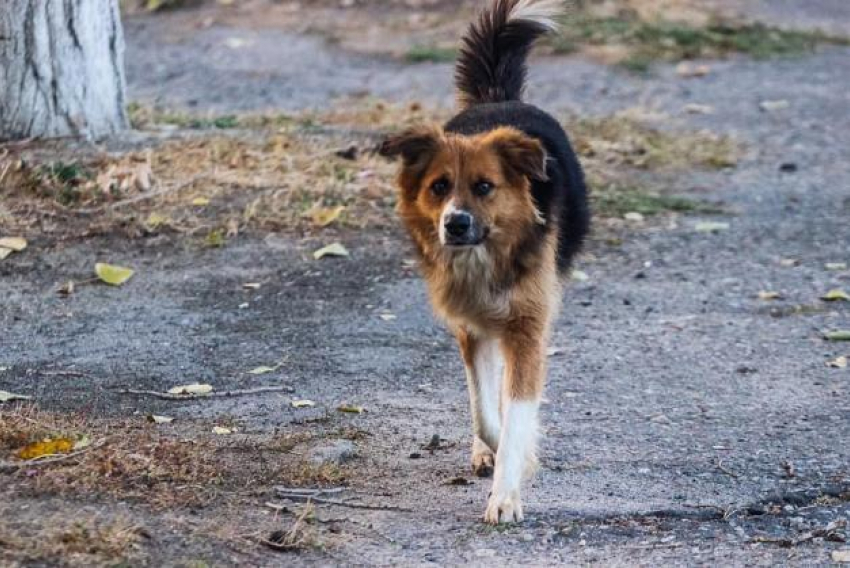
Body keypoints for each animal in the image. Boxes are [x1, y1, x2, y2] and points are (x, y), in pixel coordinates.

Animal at [380, 0, 588, 524]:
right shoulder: (470, 325)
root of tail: (497, 99)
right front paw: (499, 452)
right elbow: (486, 409)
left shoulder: (527, 326)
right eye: (439, 186)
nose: (455, 224)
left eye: (485, 187)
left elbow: (516, 415)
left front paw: (507, 494)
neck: (486, 255)